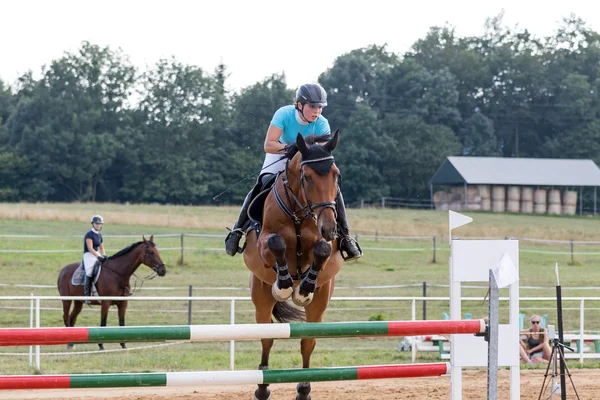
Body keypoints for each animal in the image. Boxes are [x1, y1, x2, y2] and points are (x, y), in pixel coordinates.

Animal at [244, 130, 344, 398]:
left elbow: (321, 250)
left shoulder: (326, 247)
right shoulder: (264, 244)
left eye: (336, 175)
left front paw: (303, 288)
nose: (329, 227)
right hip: (261, 295)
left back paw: (304, 388)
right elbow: (277, 243)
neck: (300, 212)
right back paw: (262, 388)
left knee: (308, 341)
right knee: (267, 338)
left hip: (320, 303)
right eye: (307, 177)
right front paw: (285, 284)